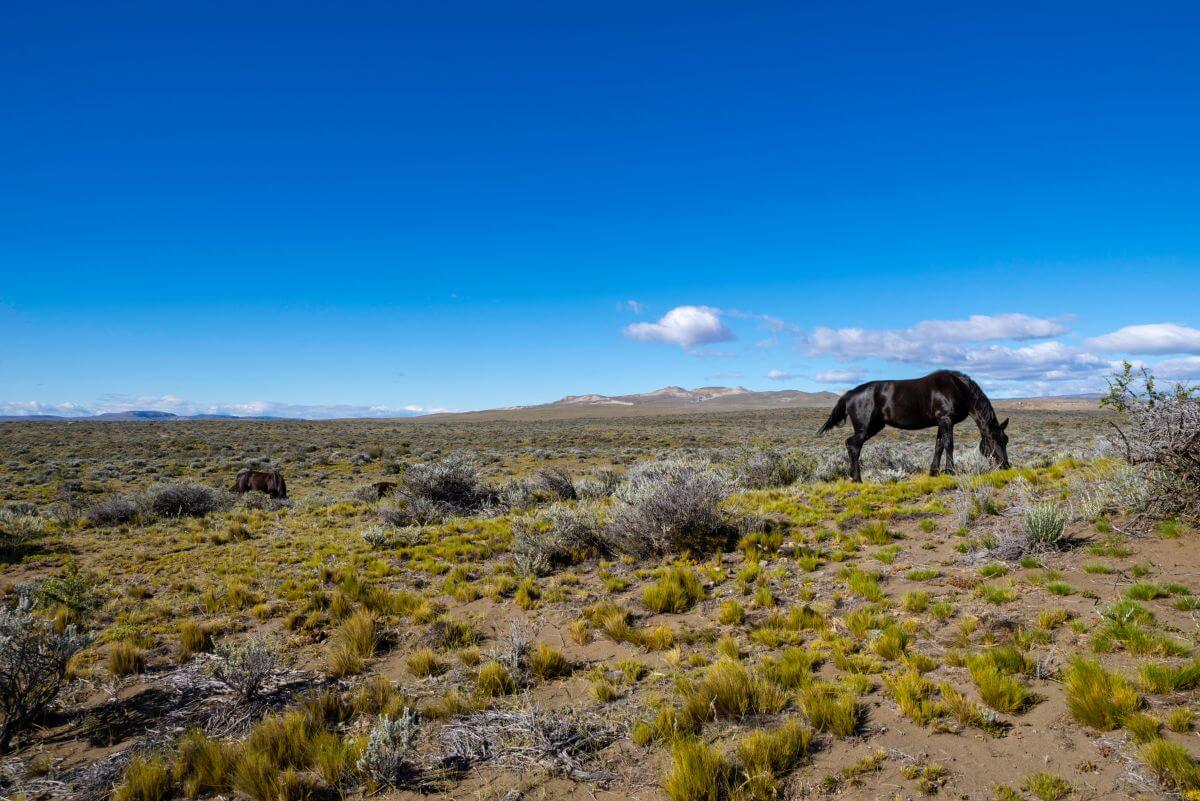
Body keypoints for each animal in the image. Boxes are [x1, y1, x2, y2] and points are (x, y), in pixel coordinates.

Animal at [818, 370, 1010, 481]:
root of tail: (849, 394)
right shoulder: (946, 420)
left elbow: (939, 445)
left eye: (1005, 440)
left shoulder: (942, 422)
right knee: (853, 445)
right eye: (993, 440)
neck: (958, 388)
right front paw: (951, 471)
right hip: (865, 428)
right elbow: (949, 444)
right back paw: (857, 479)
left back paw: (853, 476)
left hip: (874, 426)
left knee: (851, 445)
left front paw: (934, 471)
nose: (1006, 467)